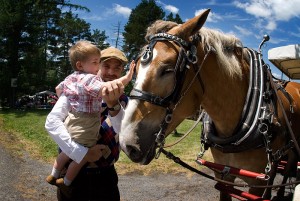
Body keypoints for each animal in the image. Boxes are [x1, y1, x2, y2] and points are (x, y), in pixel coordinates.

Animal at [118, 8, 300, 200]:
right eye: (136, 67)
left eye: (167, 69)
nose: (127, 144)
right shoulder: (223, 174)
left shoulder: (257, 183)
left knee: (287, 172)